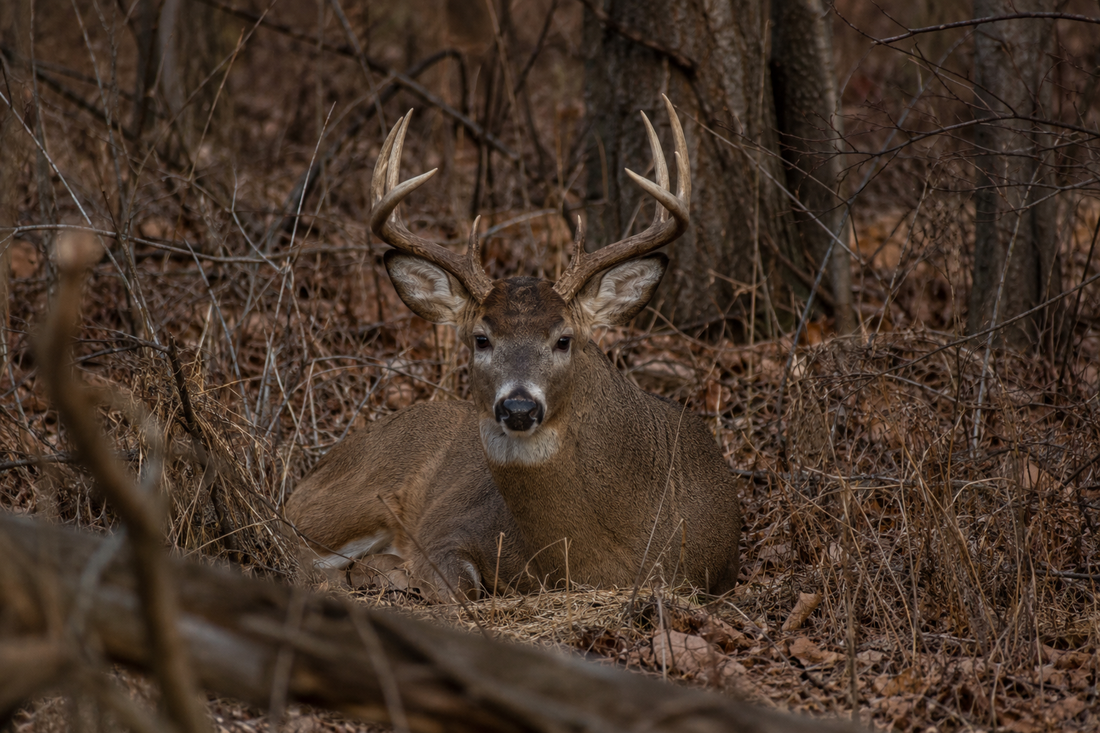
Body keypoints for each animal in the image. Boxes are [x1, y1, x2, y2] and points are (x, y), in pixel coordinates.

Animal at [286, 97, 742, 600]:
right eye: (481, 338)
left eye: (564, 339)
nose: (518, 407)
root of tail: (322, 464)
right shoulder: (445, 530)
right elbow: (460, 587)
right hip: (347, 499)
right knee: (291, 546)